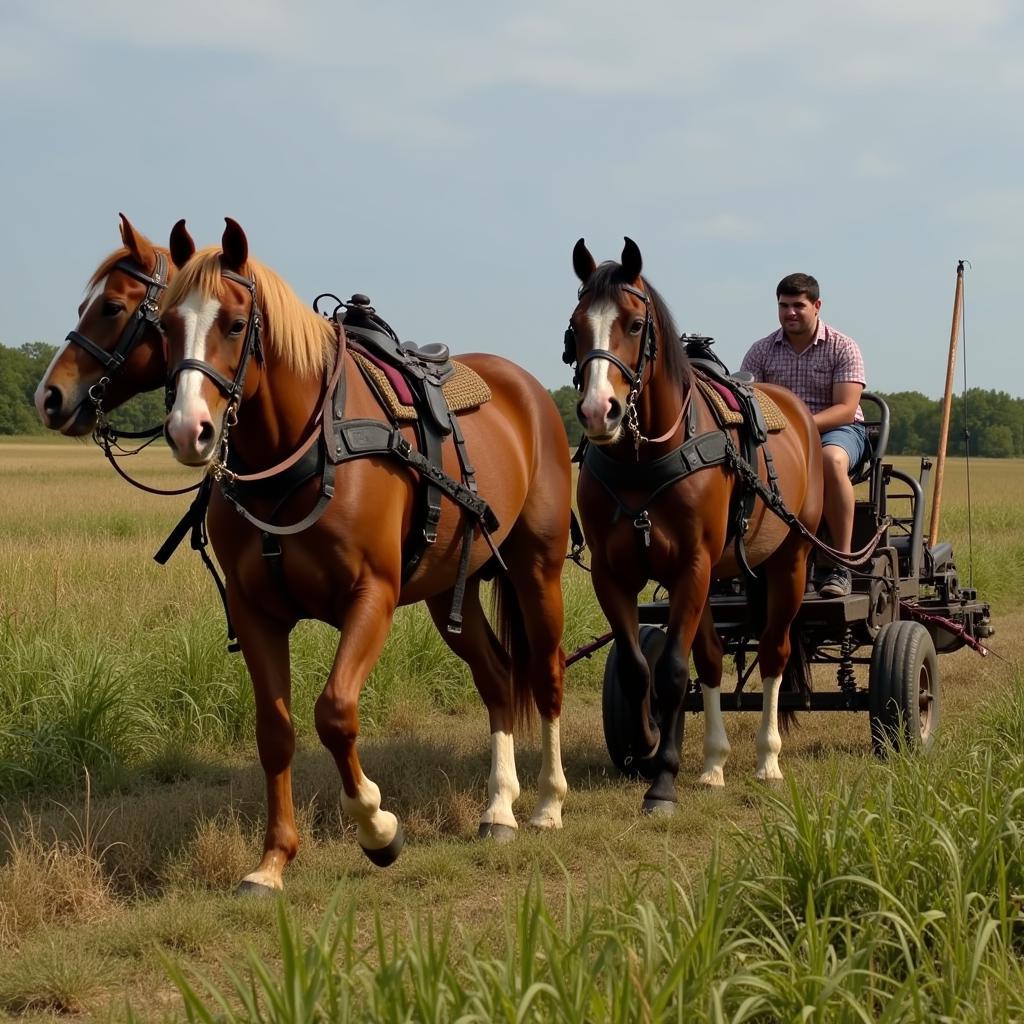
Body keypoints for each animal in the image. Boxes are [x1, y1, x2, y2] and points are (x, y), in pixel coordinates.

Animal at [162, 220, 573, 892]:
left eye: (235, 323)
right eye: (167, 323)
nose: (187, 429)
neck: (304, 450)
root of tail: (529, 390)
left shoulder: (371, 595)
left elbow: (334, 713)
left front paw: (378, 827)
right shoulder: (255, 612)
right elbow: (275, 732)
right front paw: (272, 861)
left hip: (538, 570)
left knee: (546, 674)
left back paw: (546, 803)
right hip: (449, 593)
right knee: (496, 678)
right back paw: (498, 808)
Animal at [565, 235, 819, 811]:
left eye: (635, 324)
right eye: (575, 325)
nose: (598, 410)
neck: (644, 459)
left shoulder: (692, 566)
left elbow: (674, 671)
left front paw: (663, 781)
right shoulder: (613, 575)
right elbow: (641, 667)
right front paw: (648, 739)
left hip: (789, 562)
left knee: (773, 653)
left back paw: (767, 758)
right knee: (713, 658)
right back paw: (714, 763)